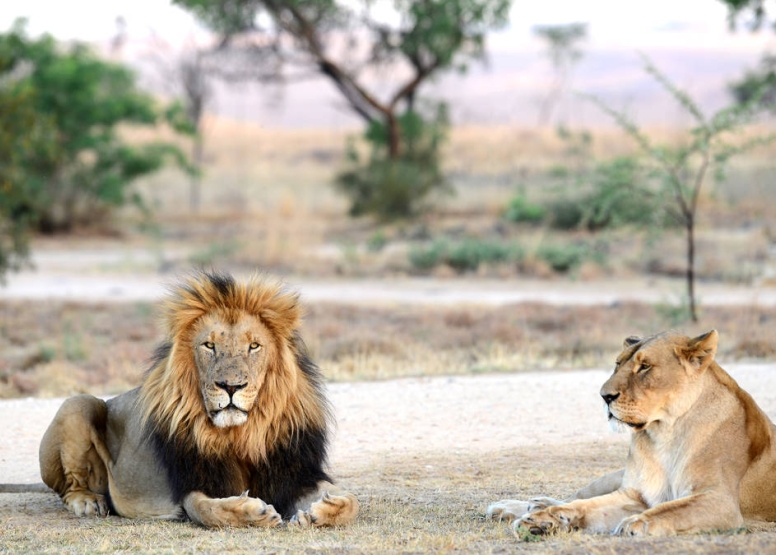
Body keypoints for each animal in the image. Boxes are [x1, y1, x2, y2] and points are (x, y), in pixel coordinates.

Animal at [38, 274, 360, 528]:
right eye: (209, 345)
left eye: (254, 346)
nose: (231, 386)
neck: (242, 434)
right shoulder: (195, 483)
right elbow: (208, 510)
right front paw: (254, 512)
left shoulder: (295, 473)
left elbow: (353, 501)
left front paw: (322, 511)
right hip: (78, 403)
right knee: (69, 486)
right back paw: (87, 501)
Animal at [488, 330, 776, 540]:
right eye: (617, 364)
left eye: (645, 367)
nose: (604, 396)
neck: (665, 433)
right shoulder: (634, 495)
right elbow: (583, 506)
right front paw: (541, 520)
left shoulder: (722, 501)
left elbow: (670, 510)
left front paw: (637, 523)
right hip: (613, 477)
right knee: (576, 495)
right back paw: (516, 507)